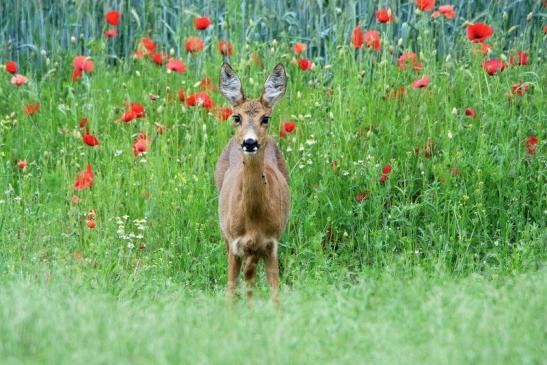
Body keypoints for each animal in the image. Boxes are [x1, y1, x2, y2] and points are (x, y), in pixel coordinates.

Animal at [214, 62, 292, 302]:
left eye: (265, 118)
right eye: (236, 117)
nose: (250, 142)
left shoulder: (271, 244)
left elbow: (275, 293)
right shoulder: (234, 243)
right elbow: (231, 290)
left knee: (251, 278)